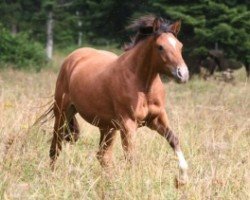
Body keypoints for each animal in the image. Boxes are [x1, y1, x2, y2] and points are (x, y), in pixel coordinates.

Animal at [49, 15, 188, 184]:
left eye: (180, 46)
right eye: (160, 47)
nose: (183, 74)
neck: (142, 86)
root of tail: (73, 58)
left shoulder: (157, 119)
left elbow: (174, 140)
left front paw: (182, 179)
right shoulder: (128, 124)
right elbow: (131, 156)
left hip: (107, 127)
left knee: (102, 156)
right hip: (62, 113)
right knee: (56, 146)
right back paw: (52, 176)